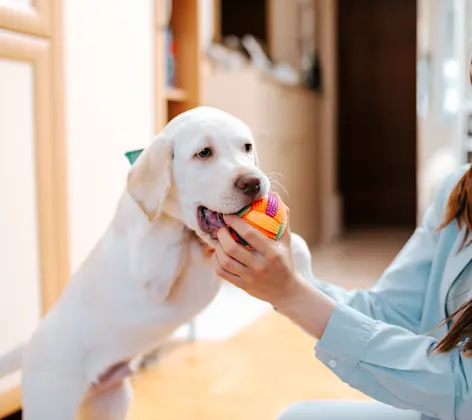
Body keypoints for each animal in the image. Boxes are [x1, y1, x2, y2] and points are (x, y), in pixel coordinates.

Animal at [0, 106, 314, 420]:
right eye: (204, 153)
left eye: (247, 147)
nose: (254, 182)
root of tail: (30, 343)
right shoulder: (153, 273)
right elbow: (170, 231)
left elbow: (299, 244)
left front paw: (305, 280)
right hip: (51, 400)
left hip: (111, 401)